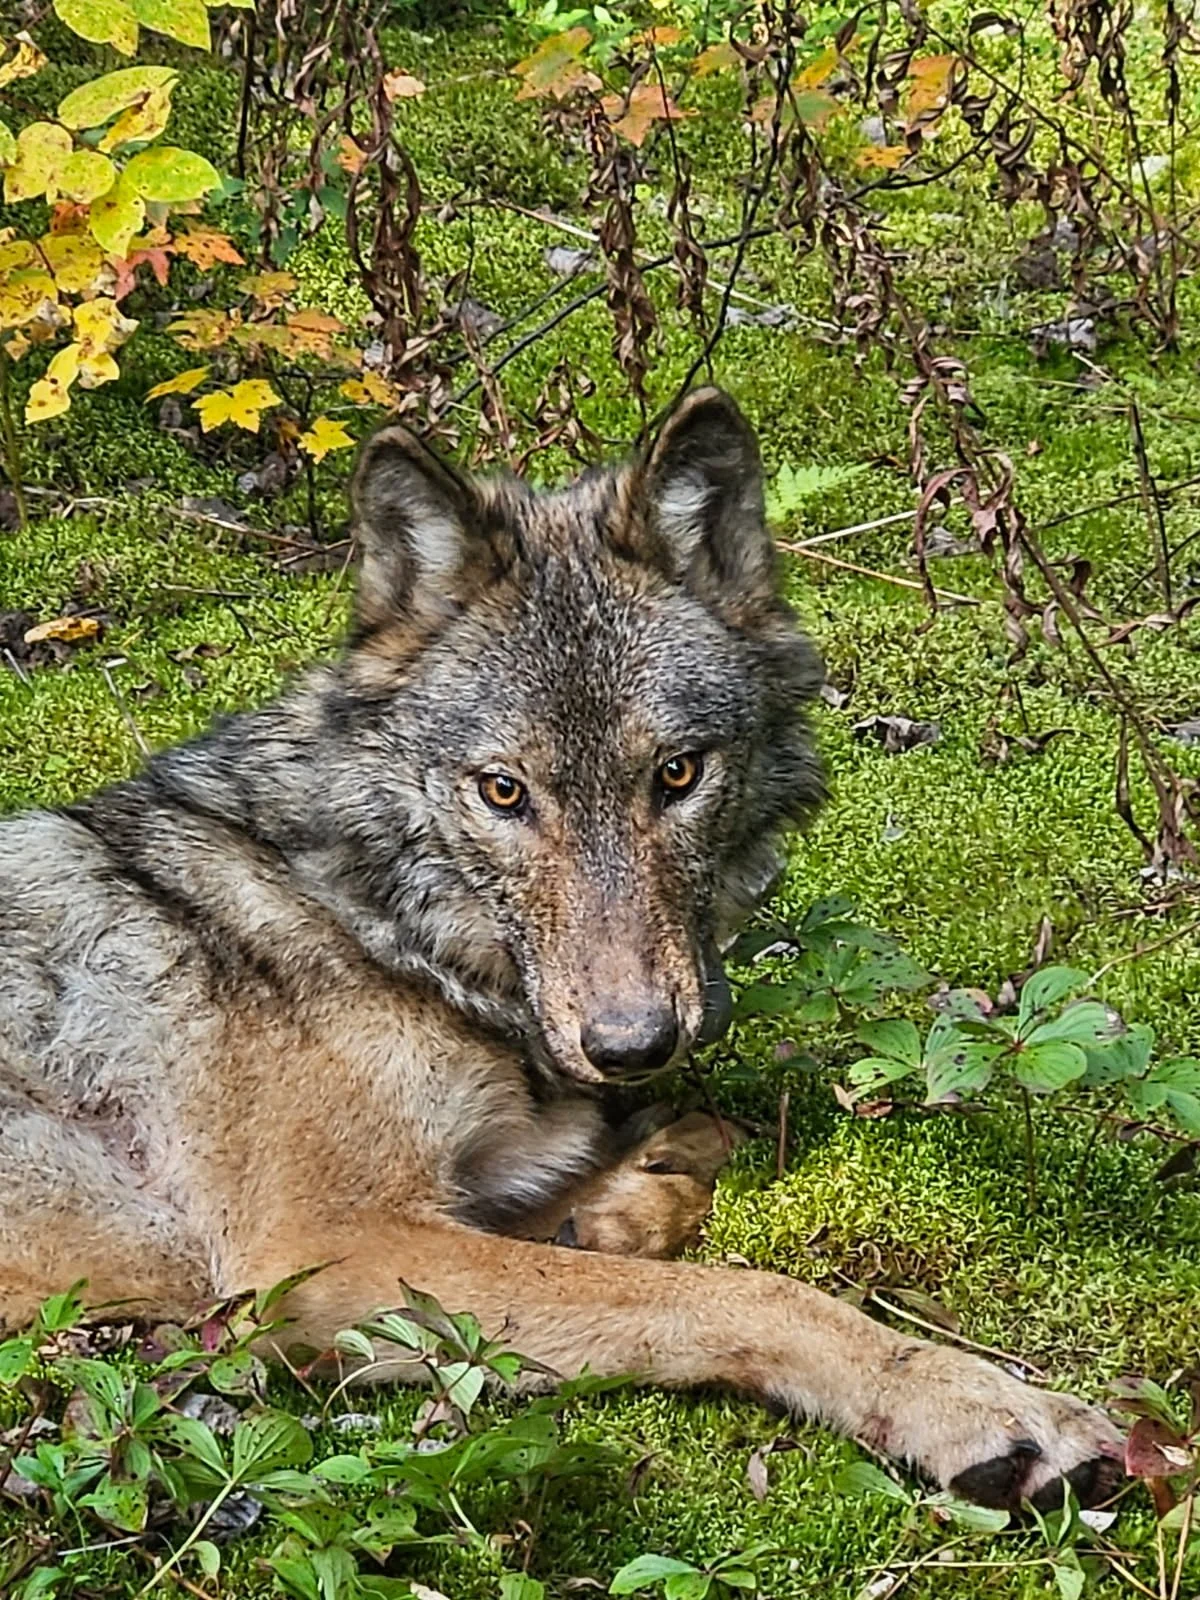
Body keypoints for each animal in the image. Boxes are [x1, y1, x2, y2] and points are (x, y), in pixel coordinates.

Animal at [0, 388, 1121, 1510]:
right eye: (505, 790)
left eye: (677, 773)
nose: (634, 1045)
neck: (368, 914)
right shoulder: (317, 1252)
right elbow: (740, 1293)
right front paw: (973, 1402)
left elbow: (684, 1156)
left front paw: (632, 1188)